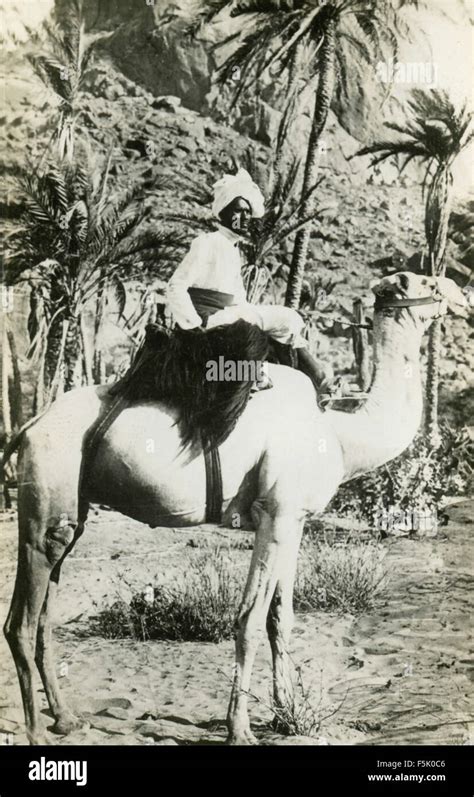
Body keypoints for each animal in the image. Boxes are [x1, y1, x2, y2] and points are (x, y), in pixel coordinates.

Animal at [1, 270, 464, 744]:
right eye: (419, 281)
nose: (459, 295)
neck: (339, 435)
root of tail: (29, 426)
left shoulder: (293, 521)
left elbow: (281, 617)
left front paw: (286, 712)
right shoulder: (275, 514)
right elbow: (249, 619)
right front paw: (240, 728)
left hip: (74, 505)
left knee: (46, 606)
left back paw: (67, 718)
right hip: (48, 486)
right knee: (21, 616)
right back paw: (38, 732)